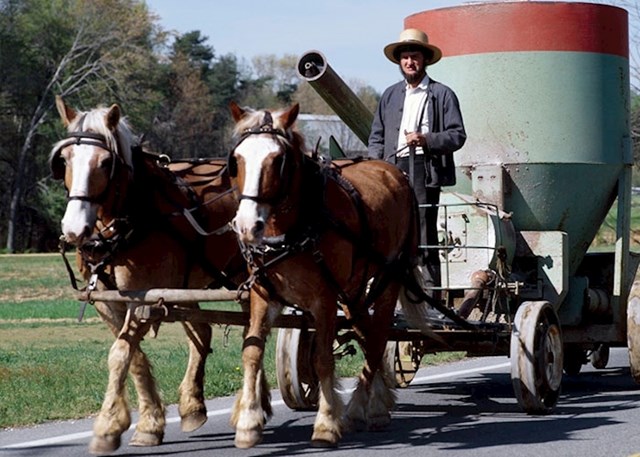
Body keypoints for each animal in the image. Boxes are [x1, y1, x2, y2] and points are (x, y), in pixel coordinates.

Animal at [50, 96, 244, 452]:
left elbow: (119, 355)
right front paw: (149, 422)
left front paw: (107, 427)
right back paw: (192, 406)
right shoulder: (109, 302)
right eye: (64, 160)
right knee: (202, 332)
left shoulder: (144, 297)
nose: (74, 228)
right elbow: (134, 356)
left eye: (105, 162)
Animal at [228, 101, 432, 448]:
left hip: (388, 279)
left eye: (277, 160)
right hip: (353, 292)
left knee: (377, 338)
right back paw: (377, 401)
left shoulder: (322, 299)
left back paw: (362, 409)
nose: (245, 226)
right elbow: (252, 352)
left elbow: (323, 358)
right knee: (368, 335)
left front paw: (325, 423)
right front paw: (249, 423)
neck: (294, 228)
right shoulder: (263, 295)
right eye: (238, 159)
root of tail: (396, 172)